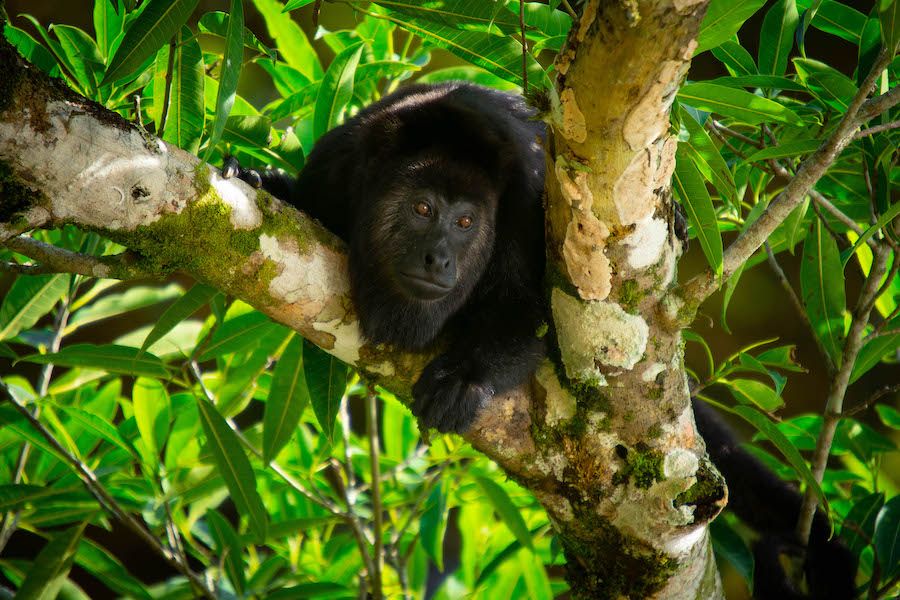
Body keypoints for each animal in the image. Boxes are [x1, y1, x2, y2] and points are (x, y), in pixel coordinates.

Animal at [229, 82, 544, 434]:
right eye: (422, 208)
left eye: (465, 221)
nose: (438, 259)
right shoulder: (334, 167)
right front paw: (252, 178)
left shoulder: (527, 201)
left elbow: (523, 312)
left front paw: (464, 378)